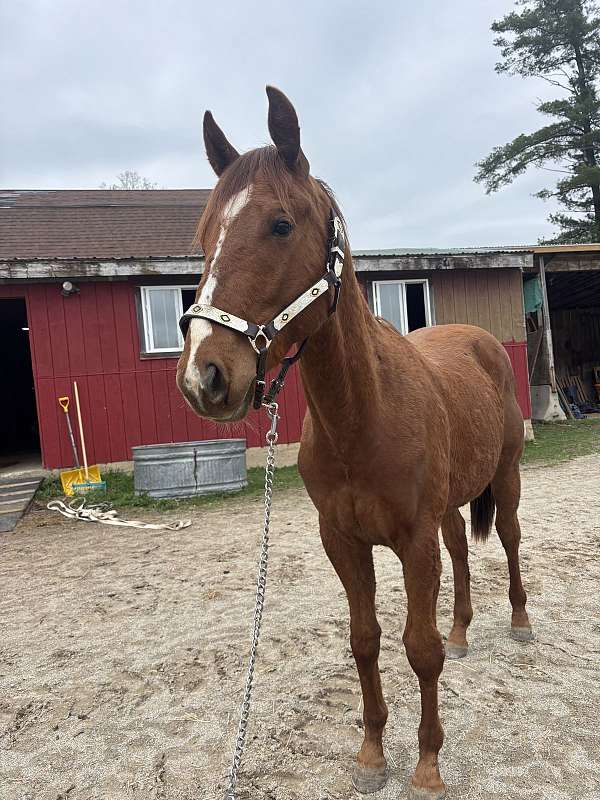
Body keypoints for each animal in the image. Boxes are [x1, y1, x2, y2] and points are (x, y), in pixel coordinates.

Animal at [176, 86, 533, 799]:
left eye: (281, 225)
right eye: (204, 236)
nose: (206, 377)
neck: (362, 418)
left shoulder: (413, 540)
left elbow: (417, 646)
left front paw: (427, 765)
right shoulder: (342, 540)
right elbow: (365, 640)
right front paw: (371, 754)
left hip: (503, 478)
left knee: (506, 538)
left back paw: (519, 623)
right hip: (448, 508)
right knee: (461, 549)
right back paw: (464, 630)